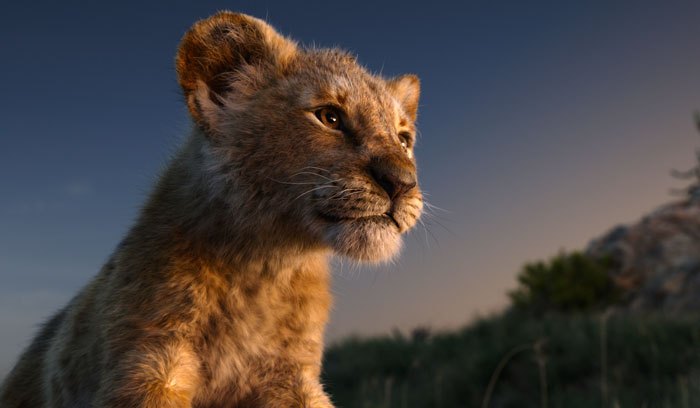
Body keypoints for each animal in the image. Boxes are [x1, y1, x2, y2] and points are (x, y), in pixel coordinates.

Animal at [0, 11, 422, 407]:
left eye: (404, 139)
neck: (265, 268)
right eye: (330, 117)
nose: (403, 182)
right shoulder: (148, 361)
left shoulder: (290, 375)